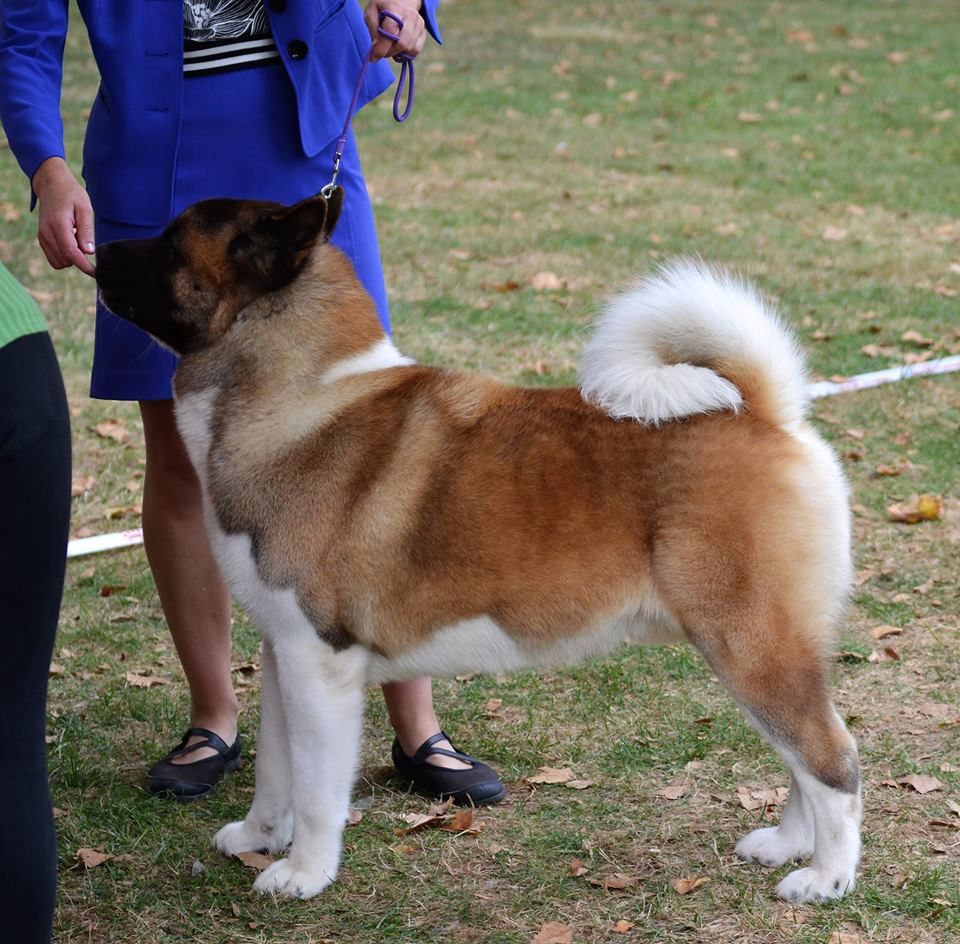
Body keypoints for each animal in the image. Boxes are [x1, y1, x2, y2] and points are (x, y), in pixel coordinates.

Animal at [97, 188, 864, 904]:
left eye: (169, 242)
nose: (95, 247)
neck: (298, 400)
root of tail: (766, 412)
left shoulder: (322, 663)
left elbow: (316, 790)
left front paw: (304, 874)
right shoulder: (285, 651)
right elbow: (274, 770)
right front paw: (258, 837)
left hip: (750, 645)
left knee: (833, 757)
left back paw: (825, 877)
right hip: (760, 653)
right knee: (803, 758)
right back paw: (787, 846)